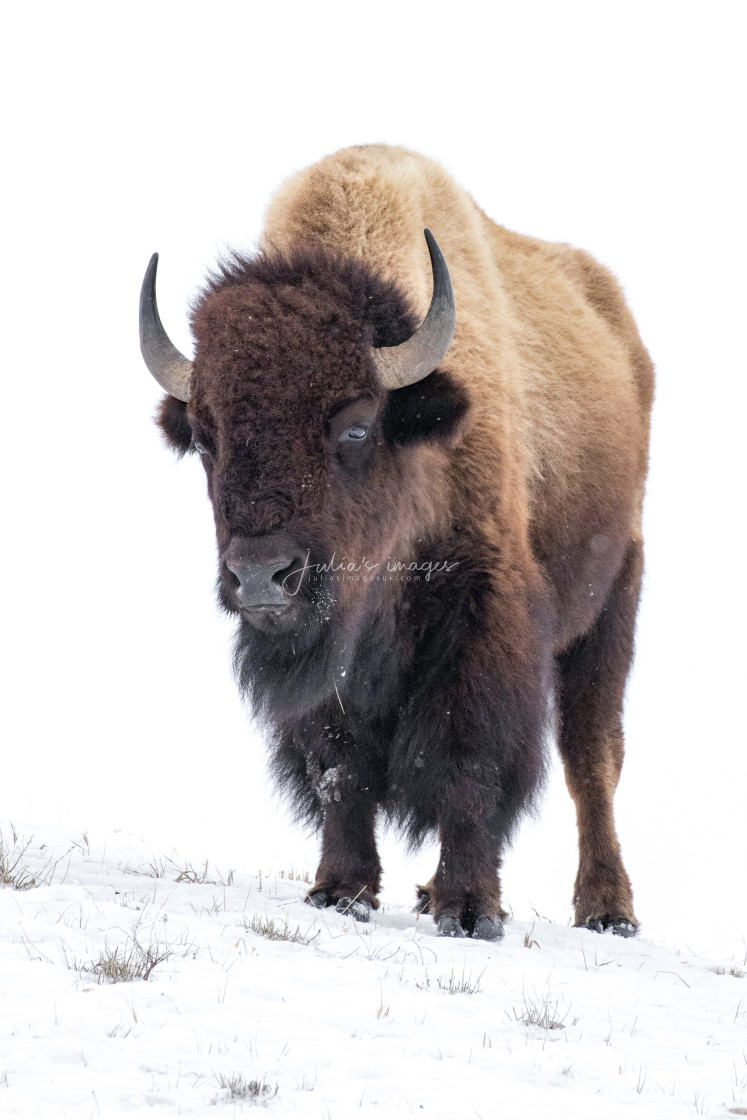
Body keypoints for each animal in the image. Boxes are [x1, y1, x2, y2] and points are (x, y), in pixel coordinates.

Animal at [139, 144, 654, 940]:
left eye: (355, 426)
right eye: (204, 437)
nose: (261, 578)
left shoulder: (481, 621)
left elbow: (467, 760)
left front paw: (470, 909)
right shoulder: (324, 662)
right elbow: (340, 766)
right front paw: (340, 890)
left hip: (611, 602)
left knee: (590, 756)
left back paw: (607, 909)